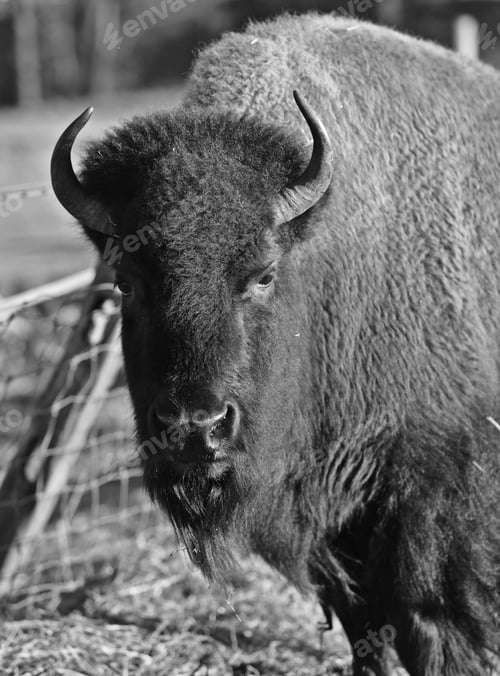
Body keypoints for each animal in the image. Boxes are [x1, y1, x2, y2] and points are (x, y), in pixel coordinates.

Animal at [51, 13, 500, 676]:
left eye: (263, 275)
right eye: (127, 280)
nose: (196, 426)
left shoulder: (435, 492)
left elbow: (438, 624)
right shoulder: (331, 526)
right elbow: (367, 627)